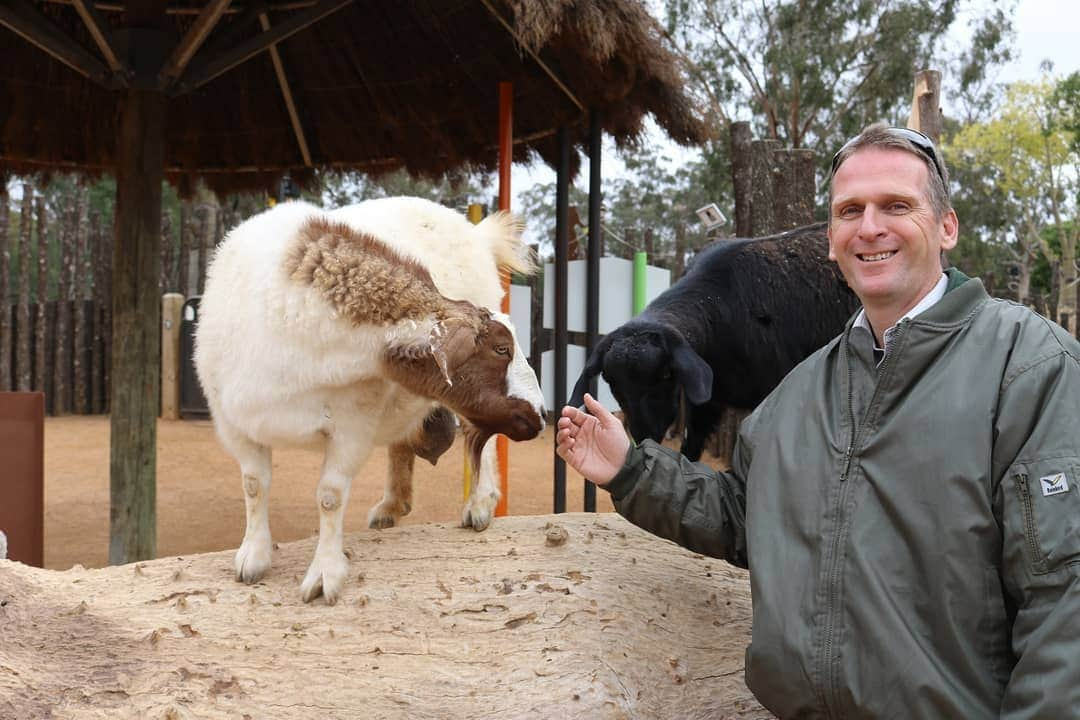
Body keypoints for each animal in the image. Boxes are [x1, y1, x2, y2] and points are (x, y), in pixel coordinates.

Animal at [194, 195, 544, 604]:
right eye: (502, 349)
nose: (541, 414)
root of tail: (478, 233)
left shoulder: (351, 425)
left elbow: (329, 496)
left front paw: (324, 574)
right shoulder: (234, 422)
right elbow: (253, 485)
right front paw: (253, 557)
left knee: (482, 445)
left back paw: (480, 504)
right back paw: (393, 504)